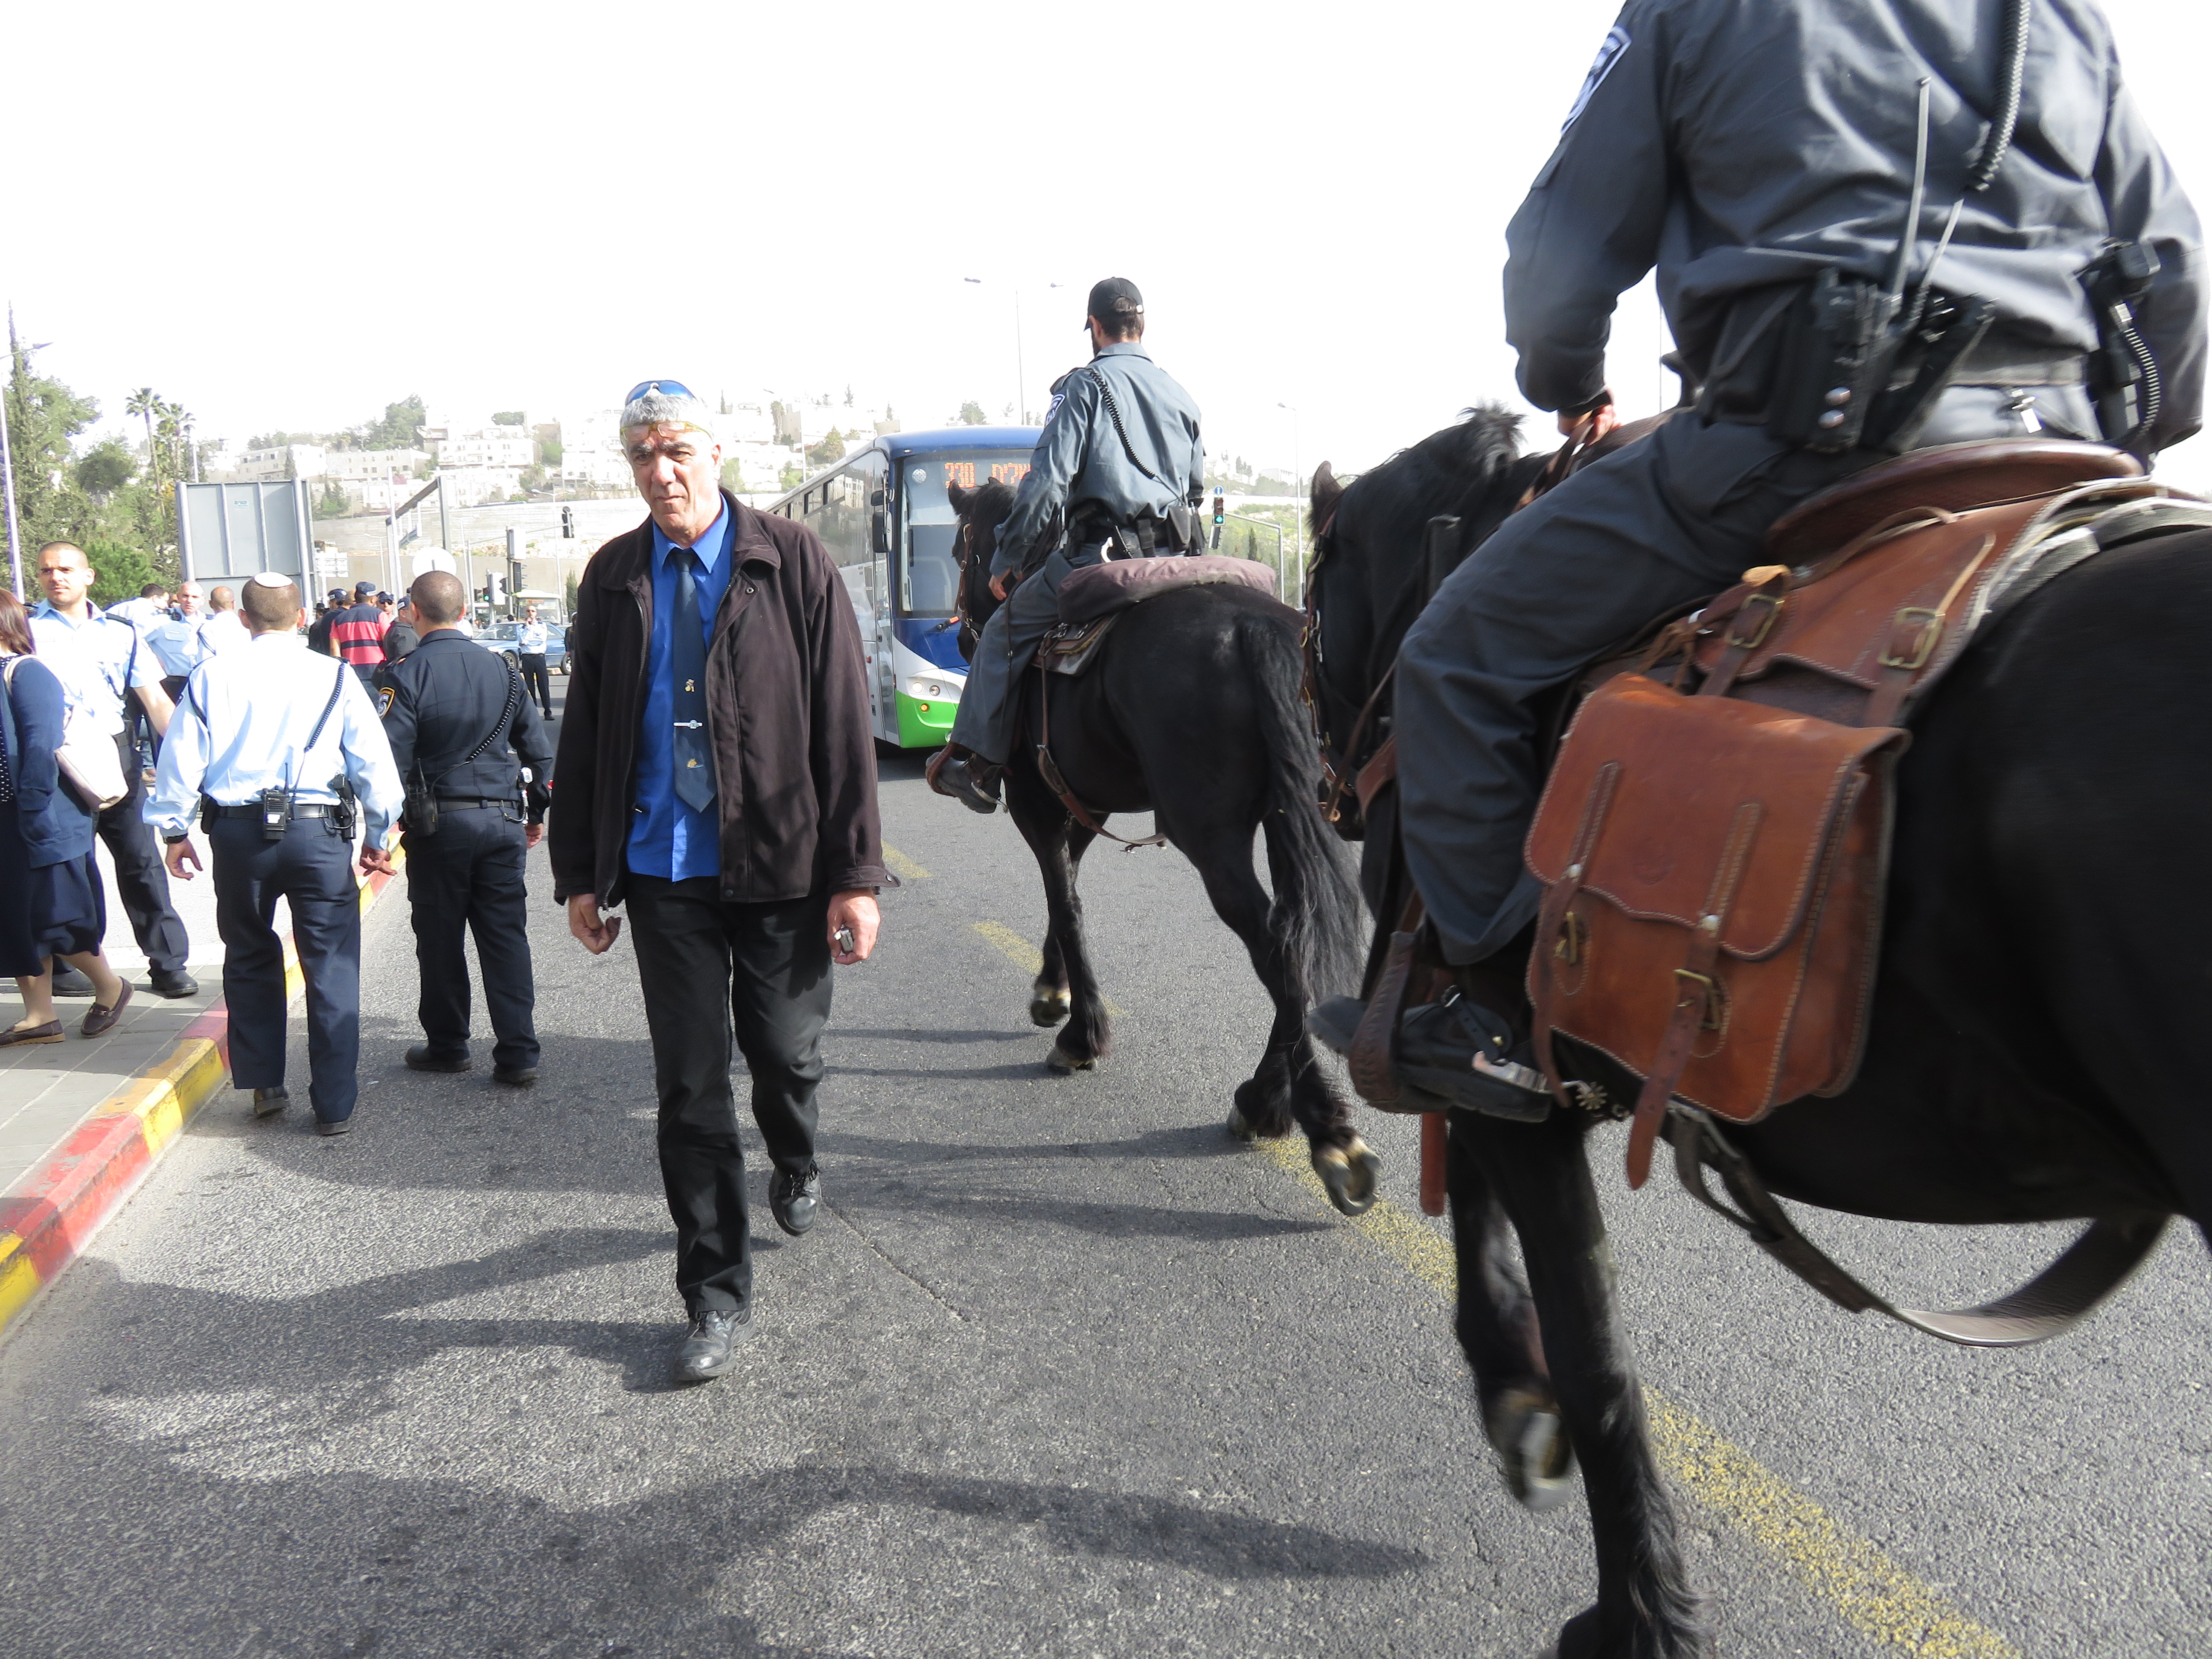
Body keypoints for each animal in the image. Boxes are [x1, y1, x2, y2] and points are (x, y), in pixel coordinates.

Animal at [946, 480, 1380, 1221]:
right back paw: (1267, 1102)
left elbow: (1065, 900)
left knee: (1273, 943)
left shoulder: (1036, 801)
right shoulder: (1082, 801)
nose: (964, 628)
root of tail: (1256, 626)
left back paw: (1326, 1129)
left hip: (1209, 835)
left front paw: (1080, 1033)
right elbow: (1067, 890)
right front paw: (1053, 990)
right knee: (1291, 938)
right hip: (1288, 814)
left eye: (959, 548)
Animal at [1301, 407, 2203, 1659]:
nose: (1328, 778)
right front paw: (1519, 1392)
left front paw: (1640, 1614)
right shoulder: (1500, 1066)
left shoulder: (1505, 1076)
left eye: (1309, 609)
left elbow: (1594, 1349)